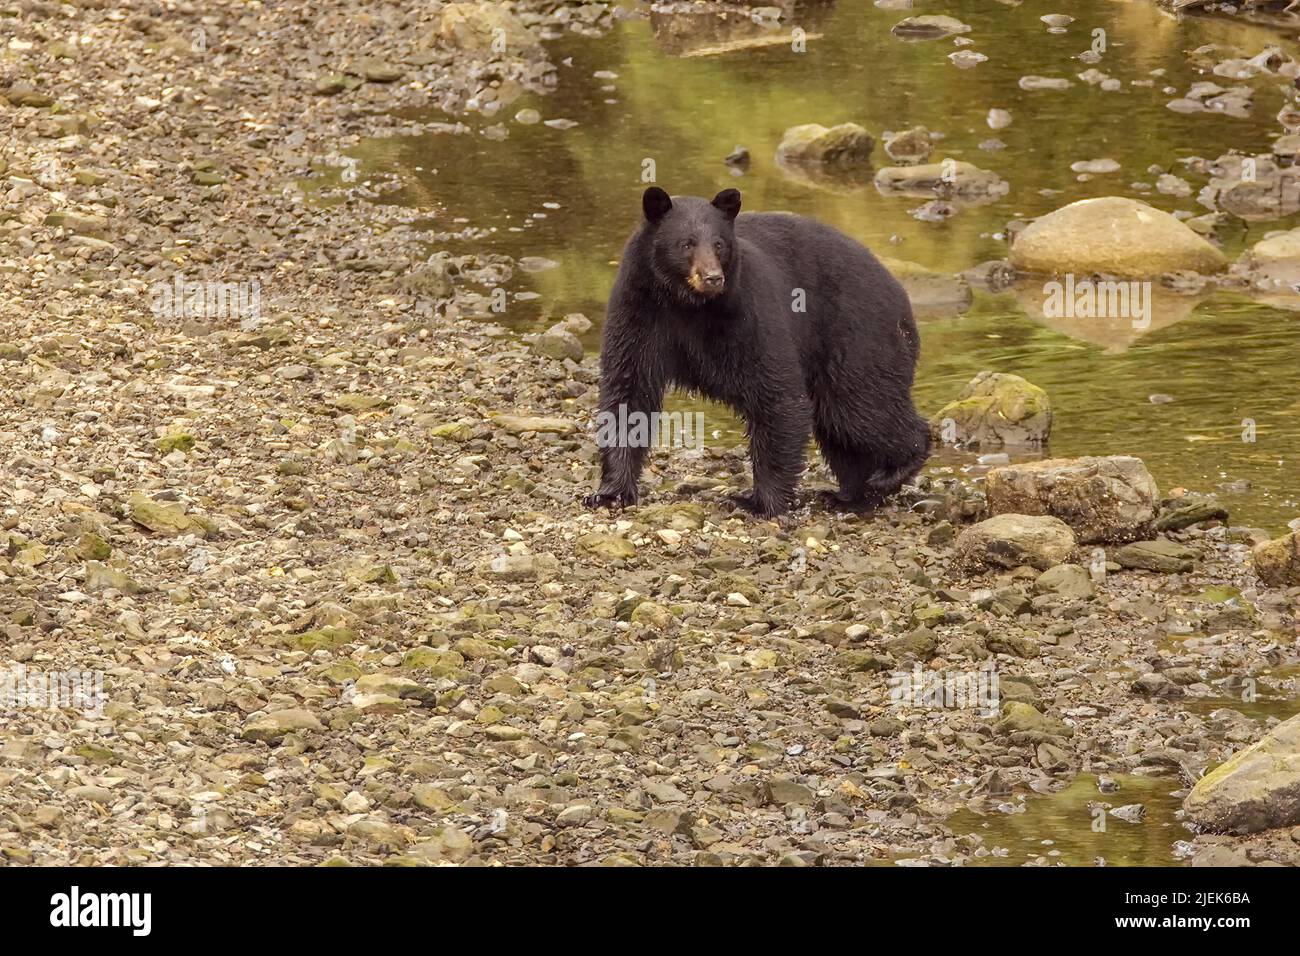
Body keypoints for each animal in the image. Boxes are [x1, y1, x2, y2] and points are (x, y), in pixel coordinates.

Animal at [585, 185, 930, 515]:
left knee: (859, 408)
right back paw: (852, 495)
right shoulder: (639, 310)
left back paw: (891, 472)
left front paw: (759, 502)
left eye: (719, 244)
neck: (687, 303)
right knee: (841, 426)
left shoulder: (746, 311)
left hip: (858, 337)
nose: (713, 277)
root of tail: (900, 293)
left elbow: (777, 393)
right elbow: (628, 390)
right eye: (686, 244)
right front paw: (611, 492)